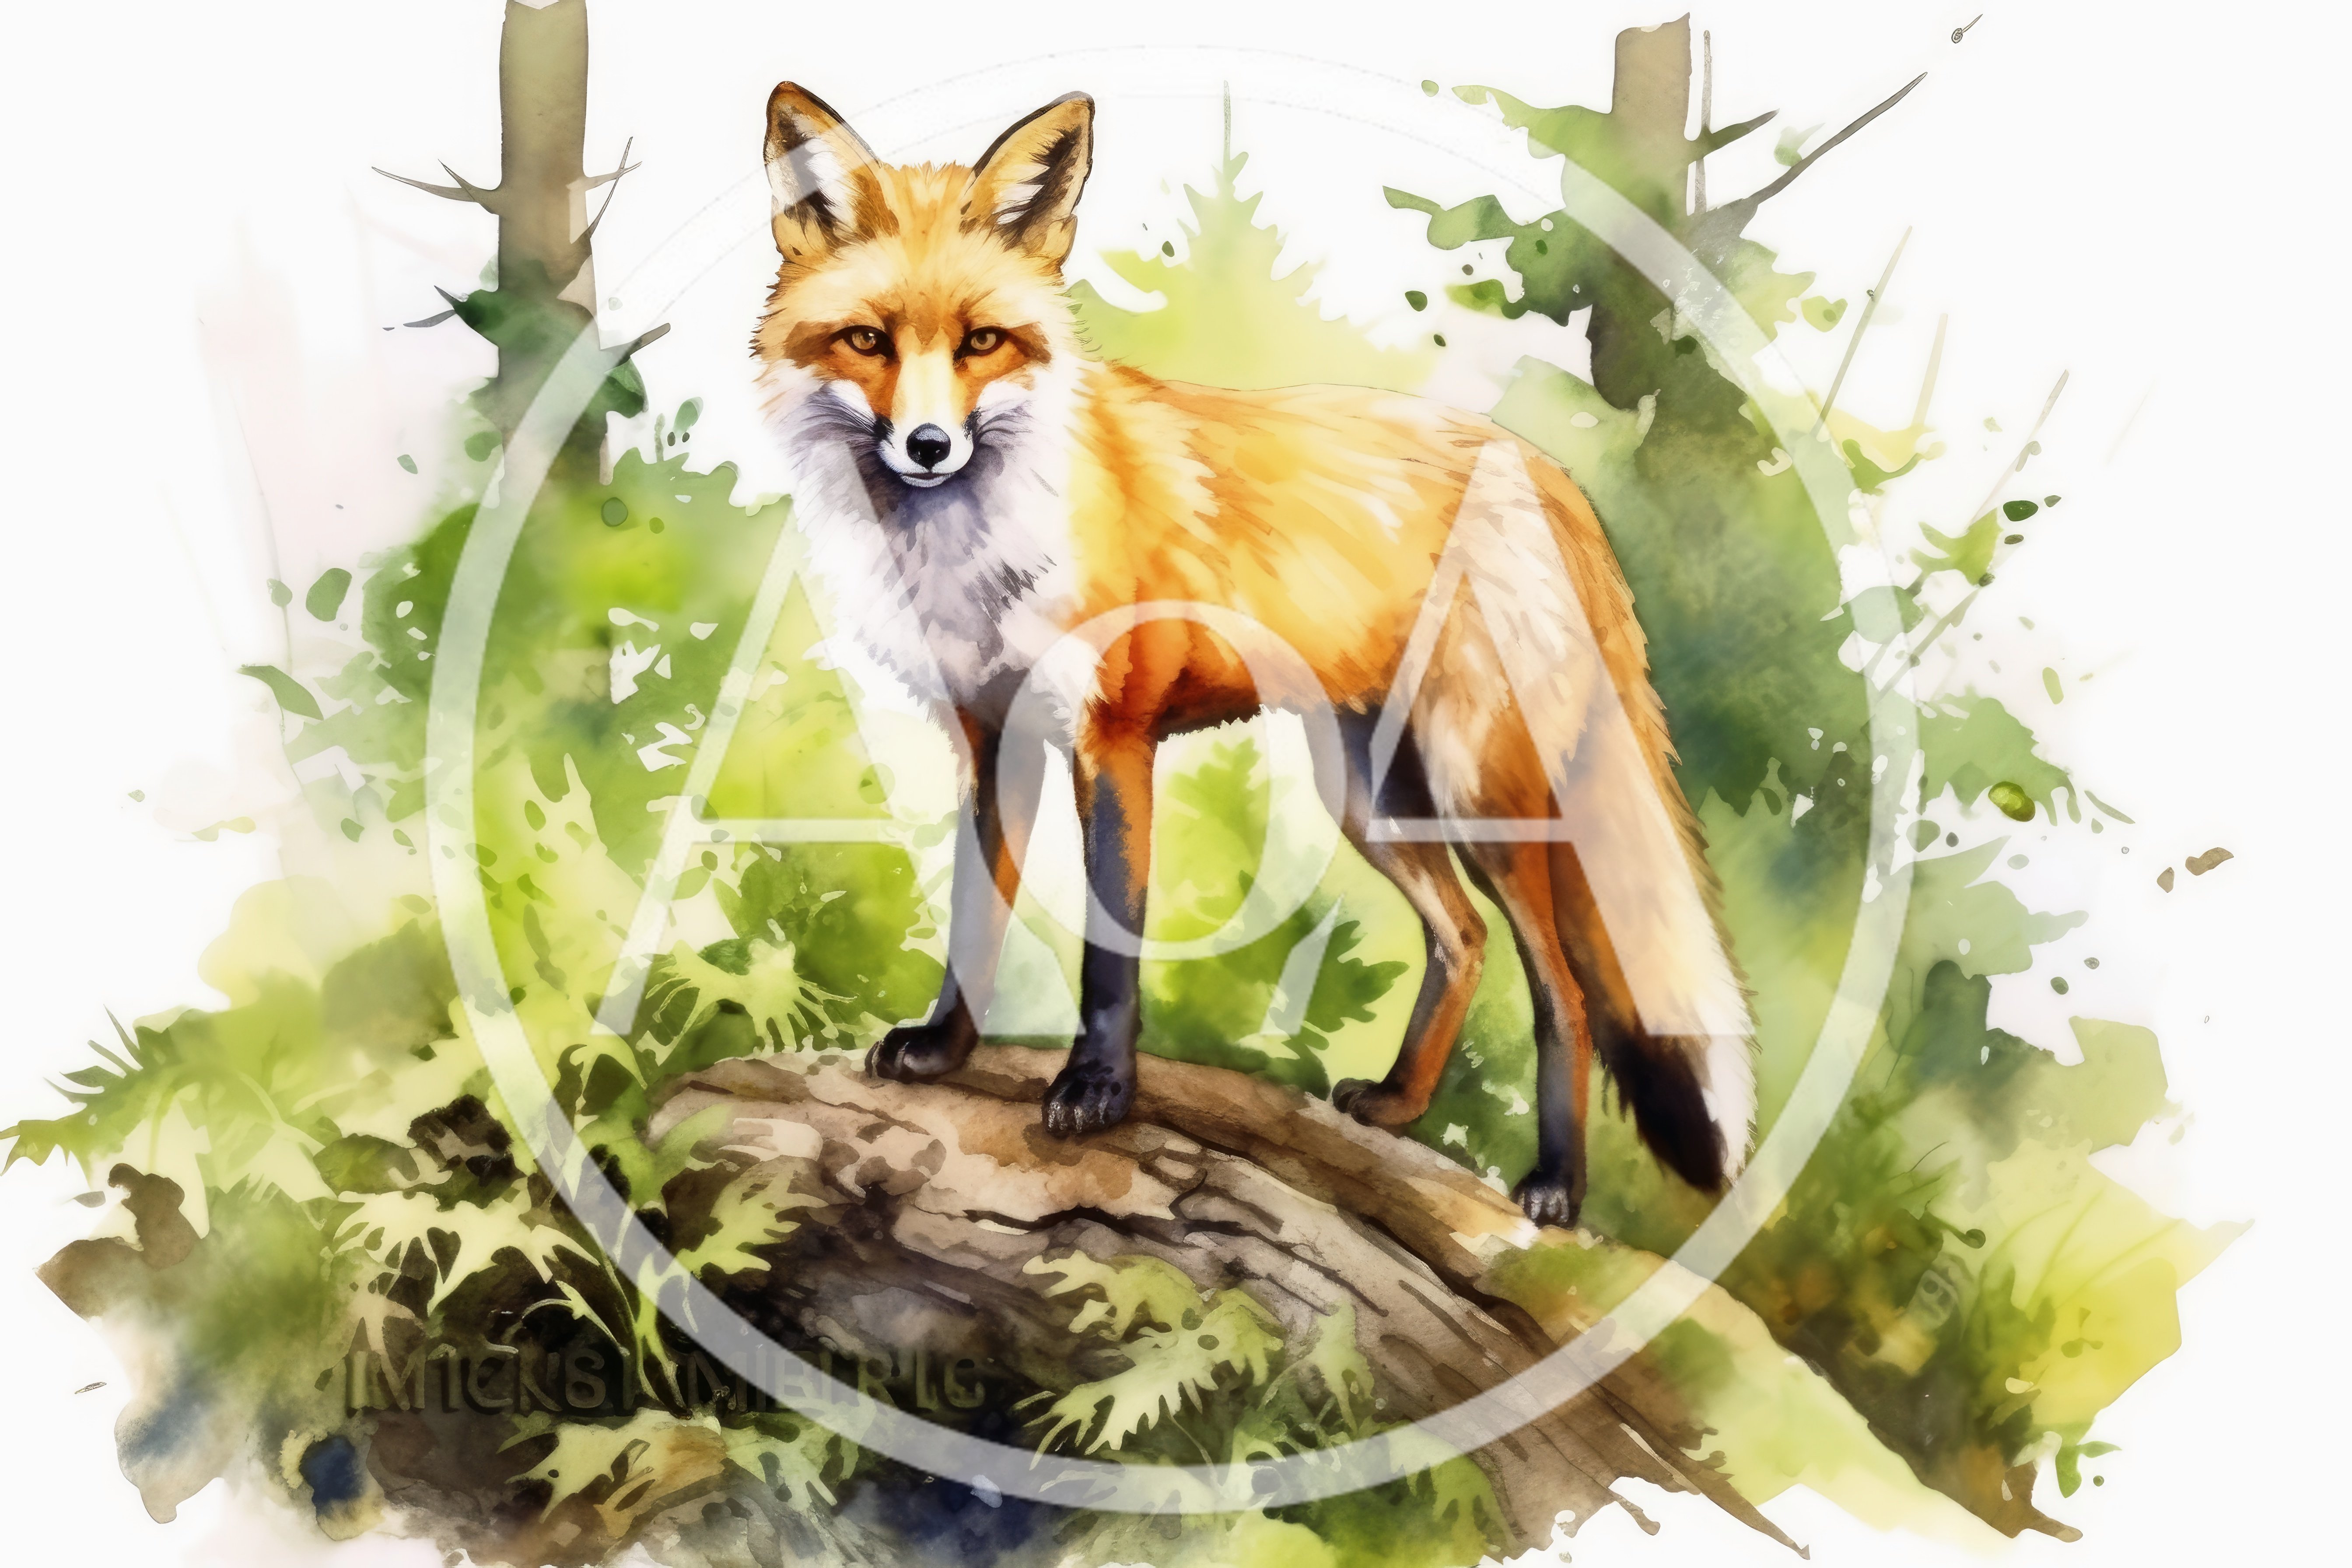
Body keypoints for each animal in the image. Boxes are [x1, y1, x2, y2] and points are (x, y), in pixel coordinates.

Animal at [750, 84, 1754, 1228]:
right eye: (867, 339)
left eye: (983, 342)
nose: (928, 447)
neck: (976, 554)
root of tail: (1545, 474)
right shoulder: (993, 738)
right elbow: (974, 915)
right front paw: (944, 1049)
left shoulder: (1115, 739)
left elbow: (1111, 953)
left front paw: (1097, 1092)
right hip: (1370, 796)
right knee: (1464, 940)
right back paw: (1398, 1105)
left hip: (1482, 793)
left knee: (1566, 990)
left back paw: (1553, 1186)